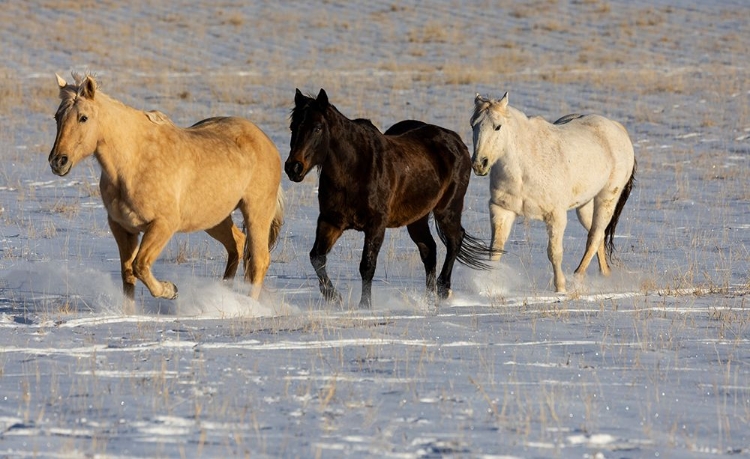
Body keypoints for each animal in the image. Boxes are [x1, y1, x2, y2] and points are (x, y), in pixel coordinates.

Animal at [50, 74, 284, 306]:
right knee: (237, 246)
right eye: (57, 116)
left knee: (259, 260)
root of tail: (266, 142)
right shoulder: (122, 227)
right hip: (214, 218)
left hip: (256, 213)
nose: (58, 161)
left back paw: (249, 305)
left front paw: (170, 290)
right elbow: (128, 274)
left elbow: (140, 265)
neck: (134, 162)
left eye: (83, 117)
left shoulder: (163, 225)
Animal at [286, 89, 494, 310]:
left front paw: (365, 305)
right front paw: (333, 297)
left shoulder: (376, 224)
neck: (354, 169)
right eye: (293, 126)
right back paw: (428, 300)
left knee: (454, 241)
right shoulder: (330, 221)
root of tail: (457, 141)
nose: (293, 167)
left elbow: (367, 265)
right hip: (417, 219)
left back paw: (443, 290)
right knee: (429, 250)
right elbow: (317, 258)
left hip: (447, 210)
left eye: (317, 127)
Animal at [472, 92, 636, 294]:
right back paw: (603, 275)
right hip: (585, 205)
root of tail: (617, 128)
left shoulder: (555, 216)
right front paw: (491, 286)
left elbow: (554, 253)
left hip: (607, 199)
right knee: (597, 236)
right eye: (473, 125)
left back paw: (577, 278)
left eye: (497, 126)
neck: (523, 168)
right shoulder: (501, 210)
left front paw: (561, 288)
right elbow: (495, 250)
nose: (480, 164)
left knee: (595, 236)